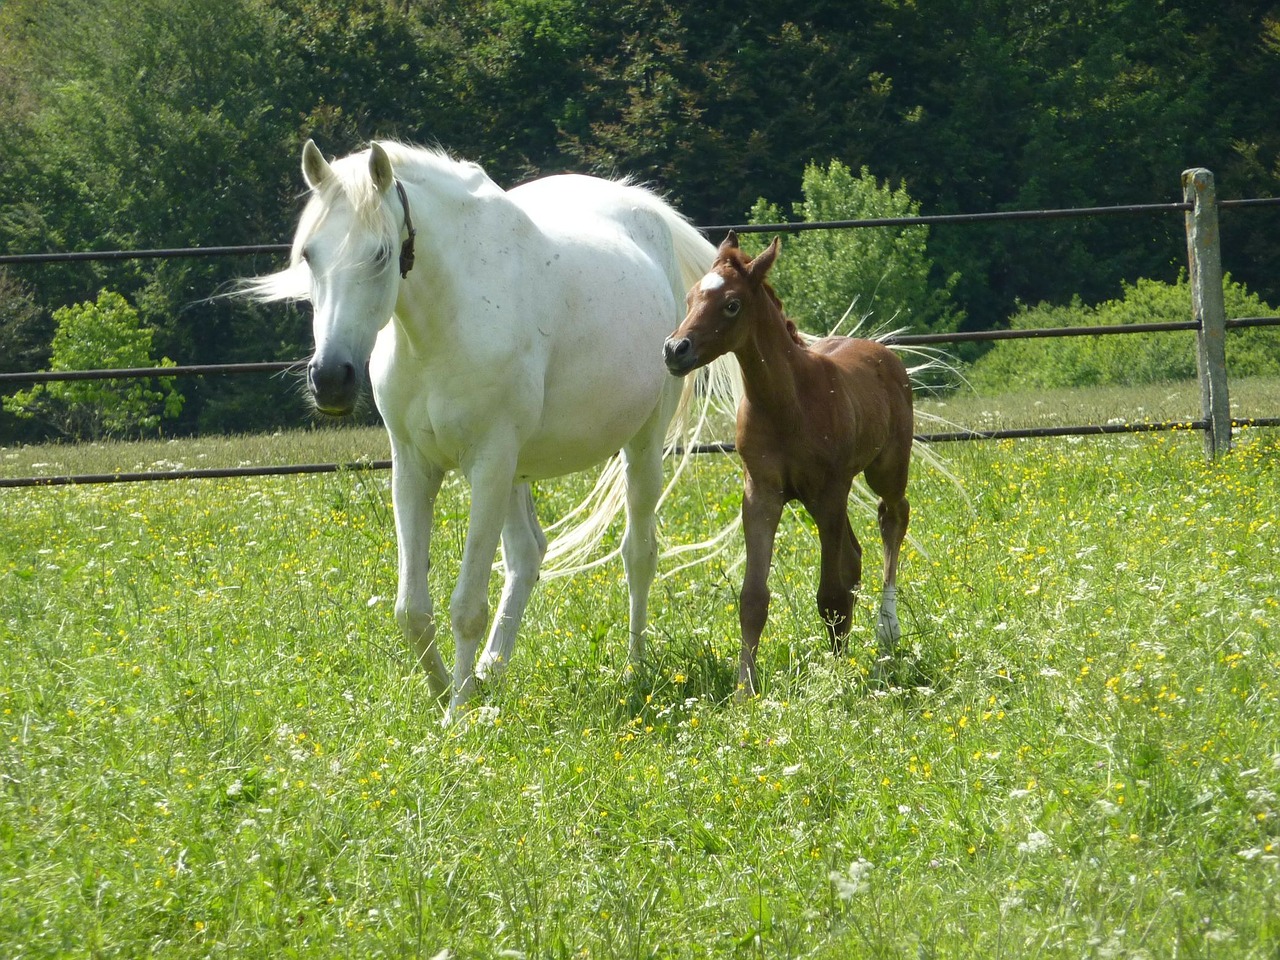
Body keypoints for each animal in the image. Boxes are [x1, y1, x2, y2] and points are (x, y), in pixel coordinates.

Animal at [244, 140, 727, 716]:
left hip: (640, 445)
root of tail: (646, 211)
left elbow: (466, 605)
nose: (330, 379)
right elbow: (411, 608)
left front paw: (456, 715)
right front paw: (442, 695)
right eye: (308, 255)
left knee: (638, 552)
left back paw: (633, 668)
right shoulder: (414, 468)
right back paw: (491, 672)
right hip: (519, 471)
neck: (442, 323)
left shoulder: (489, 464)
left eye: (380, 253)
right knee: (527, 555)